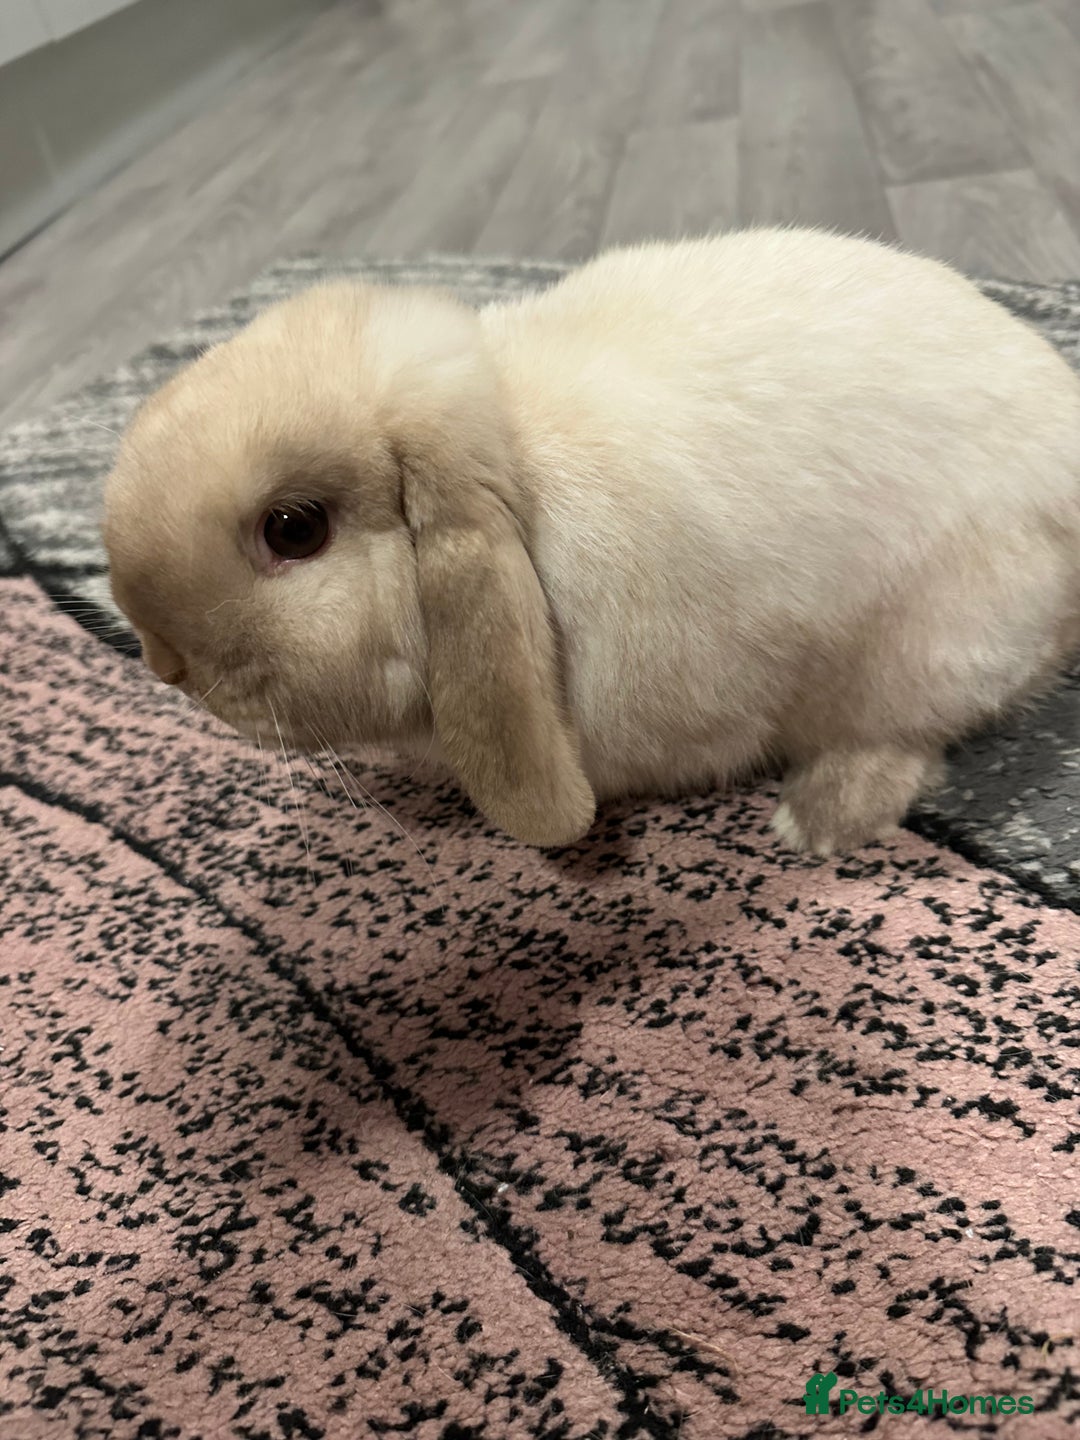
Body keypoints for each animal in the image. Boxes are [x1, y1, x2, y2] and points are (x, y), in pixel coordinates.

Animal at [103, 228, 1080, 854]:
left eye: (294, 529)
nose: (162, 663)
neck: (513, 458)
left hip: (930, 647)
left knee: (908, 737)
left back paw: (818, 821)